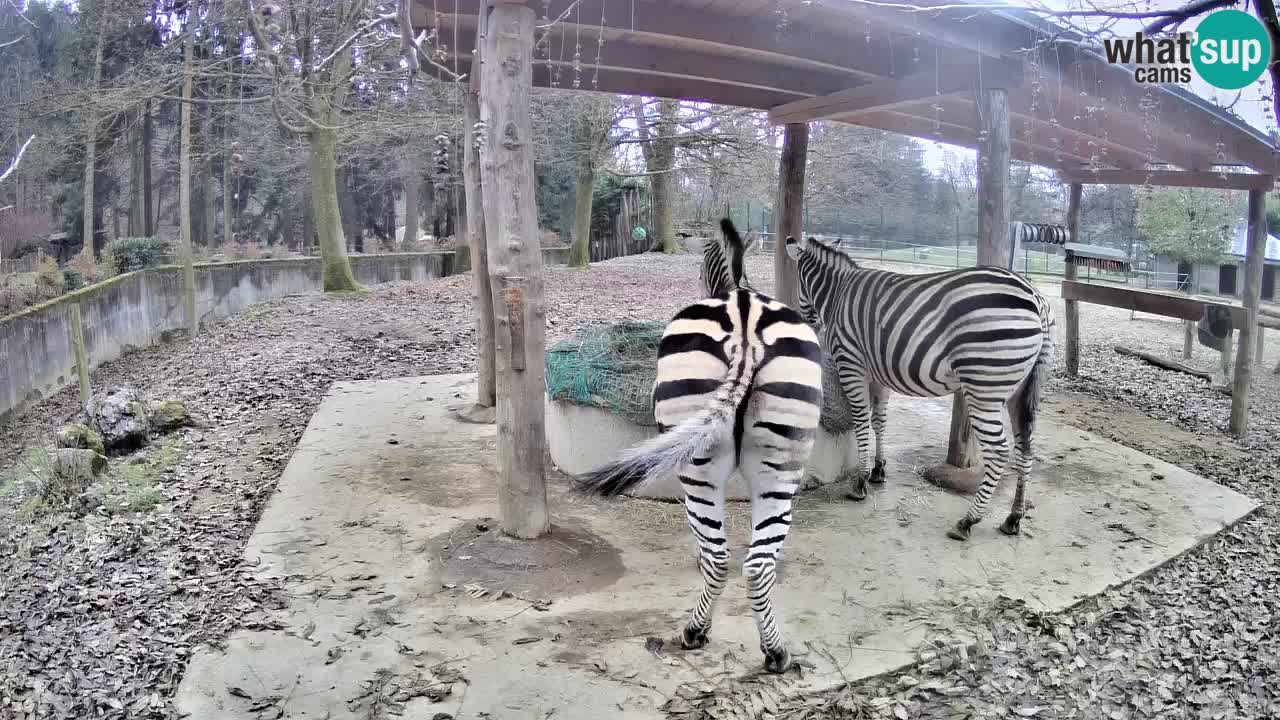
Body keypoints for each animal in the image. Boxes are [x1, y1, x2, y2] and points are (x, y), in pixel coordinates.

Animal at [578, 215, 824, 671]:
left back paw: (695, 631)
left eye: (696, 271)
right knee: (757, 564)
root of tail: (745, 325)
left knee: (718, 556)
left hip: (696, 468)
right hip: (782, 463)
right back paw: (775, 652)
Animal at [783, 234, 1054, 538]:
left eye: (798, 284)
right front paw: (878, 471)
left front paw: (860, 482)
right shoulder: (877, 374)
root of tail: (1035, 297)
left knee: (998, 453)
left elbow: (862, 422)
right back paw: (1013, 517)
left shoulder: (850, 364)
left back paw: (967, 521)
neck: (838, 293)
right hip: (1023, 389)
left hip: (983, 388)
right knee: (1025, 449)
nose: (809, 322)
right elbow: (879, 422)